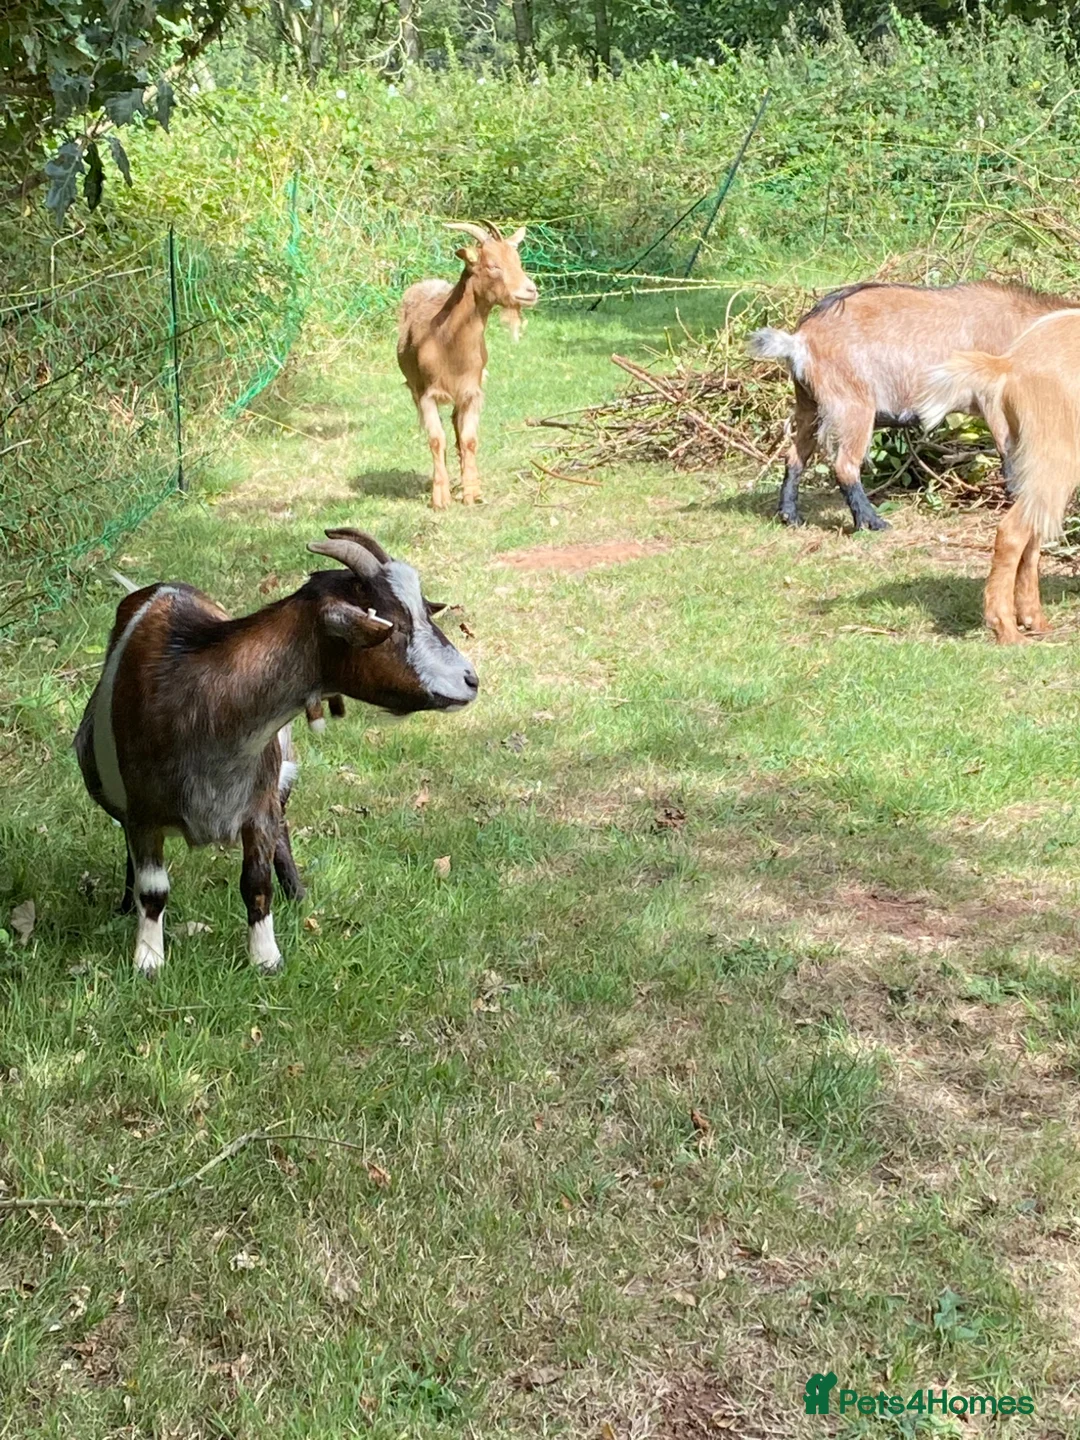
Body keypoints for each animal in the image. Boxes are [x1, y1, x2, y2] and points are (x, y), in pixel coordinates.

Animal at [75, 530, 478, 975]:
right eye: (394, 625)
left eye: (424, 612)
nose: (471, 680)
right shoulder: (144, 813)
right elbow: (154, 889)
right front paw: (148, 961)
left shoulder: (259, 806)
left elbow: (256, 882)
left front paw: (266, 958)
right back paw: (126, 906)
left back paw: (297, 894)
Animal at [397, 221, 538, 510]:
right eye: (493, 265)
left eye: (517, 261)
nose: (530, 291)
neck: (446, 341)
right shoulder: (427, 394)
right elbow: (435, 439)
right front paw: (440, 498)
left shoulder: (472, 392)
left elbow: (469, 439)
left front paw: (472, 492)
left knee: (456, 426)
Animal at [750, 281, 1080, 532]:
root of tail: (799, 340)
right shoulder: (995, 403)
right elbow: (1011, 456)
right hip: (853, 405)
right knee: (844, 464)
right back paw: (871, 522)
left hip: (810, 405)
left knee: (794, 456)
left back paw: (790, 516)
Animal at [919, 309, 1080, 644]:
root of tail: (1008, 363)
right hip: (1057, 457)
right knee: (1012, 532)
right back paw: (1006, 627)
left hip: (1030, 462)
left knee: (1032, 533)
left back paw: (1034, 620)